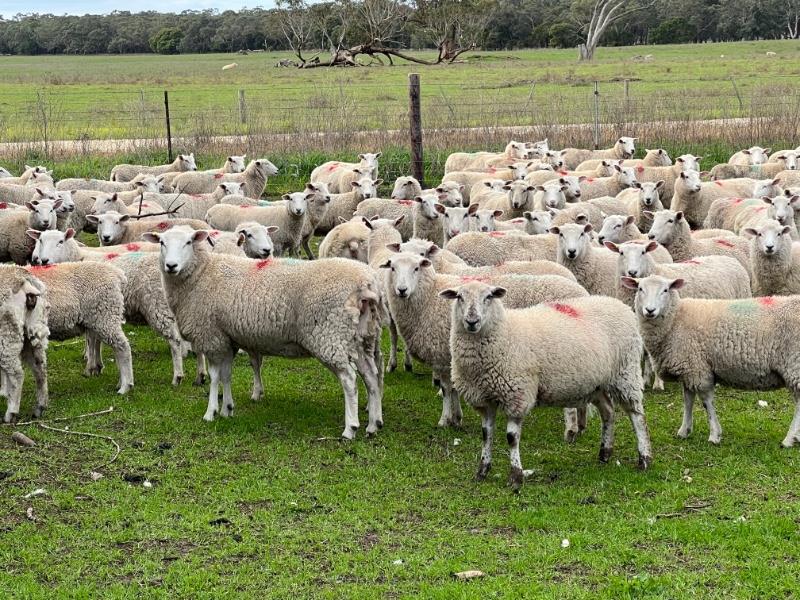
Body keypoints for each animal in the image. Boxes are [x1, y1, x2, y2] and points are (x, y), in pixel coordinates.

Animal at [0, 266, 49, 423]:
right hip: (33, 329)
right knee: (40, 368)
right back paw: (40, 407)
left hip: (7, 332)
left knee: (17, 374)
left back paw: (11, 413)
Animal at [143, 227, 384, 438]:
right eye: (162, 242)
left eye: (188, 242)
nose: (171, 265)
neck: (201, 274)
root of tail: (365, 282)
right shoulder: (227, 338)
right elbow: (226, 375)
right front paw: (227, 408)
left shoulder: (211, 336)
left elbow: (214, 377)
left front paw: (211, 412)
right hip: (361, 337)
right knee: (372, 377)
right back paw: (373, 424)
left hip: (330, 335)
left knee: (350, 380)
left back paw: (351, 428)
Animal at [381, 251, 588, 432]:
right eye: (392, 267)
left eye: (416, 268)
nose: (401, 290)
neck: (429, 296)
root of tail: (582, 291)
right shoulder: (454, 358)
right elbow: (454, 389)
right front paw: (457, 418)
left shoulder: (441, 356)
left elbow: (447, 389)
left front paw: (445, 420)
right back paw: (581, 426)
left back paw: (572, 429)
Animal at [441, 280, 651, 491]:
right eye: (459, 297)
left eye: (489, 297)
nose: (472, 321)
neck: (504, 333)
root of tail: (619, 304)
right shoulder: (485, 400)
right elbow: (486, 434)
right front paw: (482, 471)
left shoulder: (517, 396)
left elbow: (511, 437)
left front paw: (516, 476)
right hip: (597, 383)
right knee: (608, 411)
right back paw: (605, 453)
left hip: (625, 373)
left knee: (637, 416)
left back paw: (644, 458)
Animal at [621, 274, 800, 448]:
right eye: (640, 288)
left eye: (665, 290)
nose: (650, 310)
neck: (676, 318)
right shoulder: (689, 369)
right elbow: (687, 400)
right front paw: (684, 431)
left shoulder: (698, 369)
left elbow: (706, 402)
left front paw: (714, 435)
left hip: (794, 365)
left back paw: (789, 440)